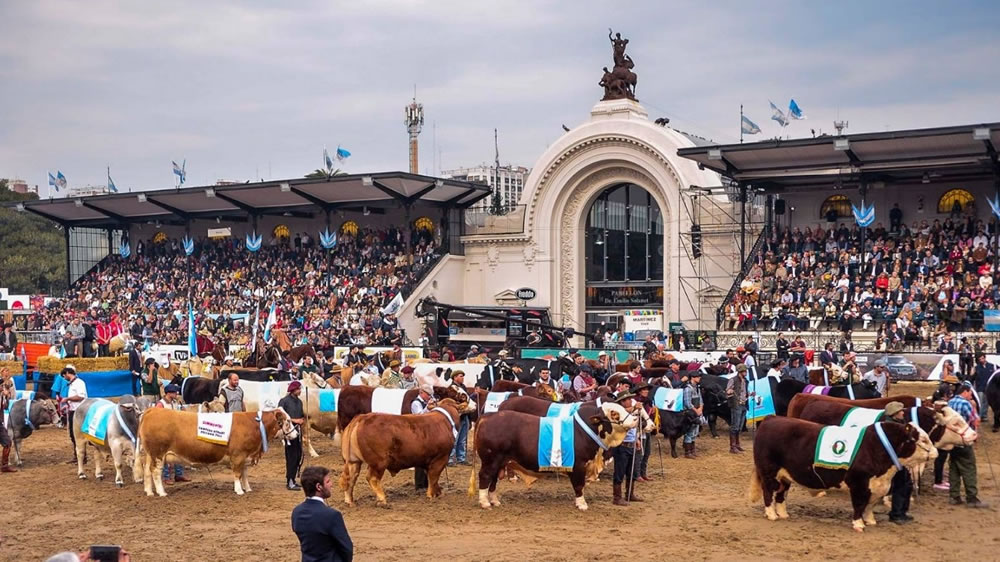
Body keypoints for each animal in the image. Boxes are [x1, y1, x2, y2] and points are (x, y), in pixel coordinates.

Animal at [470, 398, 640, 508]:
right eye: (614, 413)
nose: (635, 419)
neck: (584, 430)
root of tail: (487, 416)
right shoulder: (578, 465)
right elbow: (579, 485)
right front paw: (582, 504)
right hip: (490, 460)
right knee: (485, 477)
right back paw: (485, 503)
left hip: (500, 462)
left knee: (493, 480)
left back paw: (494, 501)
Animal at [752, 416, 936, 528]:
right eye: (923, 439)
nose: (936, 452)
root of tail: (771, 418)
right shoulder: (858, 484)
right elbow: (859, 505)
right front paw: (859, 524)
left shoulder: (876, 486)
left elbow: (870, 505)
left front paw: (870, 521)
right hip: (769, 473)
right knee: (768, 493)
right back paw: (772, 515)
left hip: (785, 476)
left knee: (781, 495)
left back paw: (783, 514)